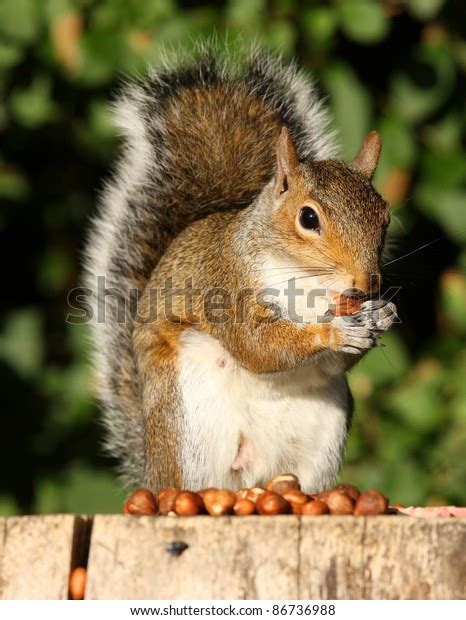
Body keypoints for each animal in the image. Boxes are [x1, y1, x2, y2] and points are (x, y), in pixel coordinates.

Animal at [83, 47, 396, 494]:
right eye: (308, 218)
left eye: (385, 218)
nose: (367, 282)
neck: (310, 285)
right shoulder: (226, 285)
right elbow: (258, 345)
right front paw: (334, 330)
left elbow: (335, 362)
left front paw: (383, 313)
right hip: (187, 424)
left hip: (322, 434)